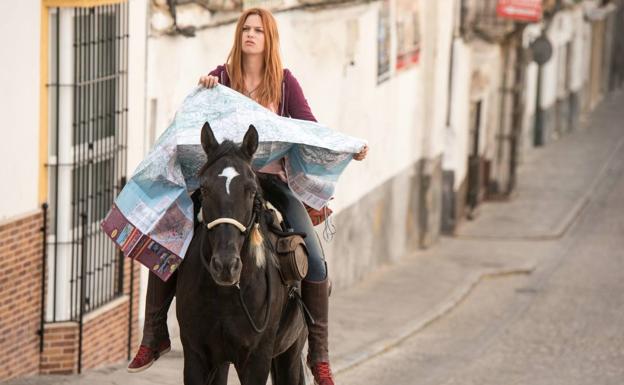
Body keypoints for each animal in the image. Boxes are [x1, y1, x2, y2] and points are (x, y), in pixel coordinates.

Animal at [176, 123, 308, 384]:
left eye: (251, 189)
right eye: (204, 189)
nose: (226, 266)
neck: (226, 294)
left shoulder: (257, 360)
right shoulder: (197, 356)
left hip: (291, 350)